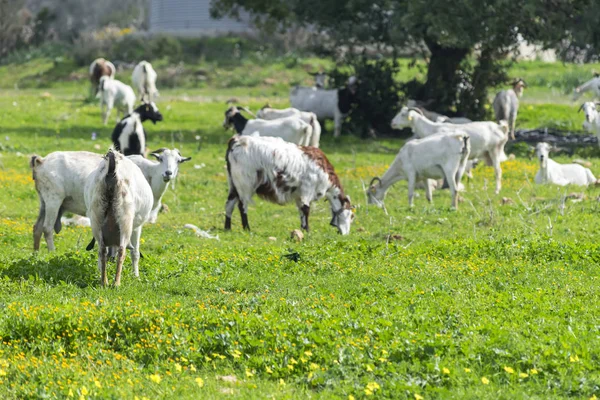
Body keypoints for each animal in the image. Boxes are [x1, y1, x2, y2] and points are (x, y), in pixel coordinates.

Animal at [85, 148, 155, 286]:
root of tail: (112, 170)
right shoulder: (136, 227)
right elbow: (135, 252)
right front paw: (136, 275)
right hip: (125, 218)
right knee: (122, 250)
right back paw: (116, 283)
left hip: (97, 216)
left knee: (102, 250)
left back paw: (104, 282)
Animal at [224, 134, 354, 234]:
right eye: (351, 216)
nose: (345, 234)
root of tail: (236, 140)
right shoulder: (307, 190)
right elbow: (306, 209)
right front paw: (308, 231)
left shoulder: (299, 195)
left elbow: (301, 211)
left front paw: (303, 229)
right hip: (244, 184)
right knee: (242, 206)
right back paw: (247, 229)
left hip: (233, 183)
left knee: (229, 204)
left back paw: (227, 228)